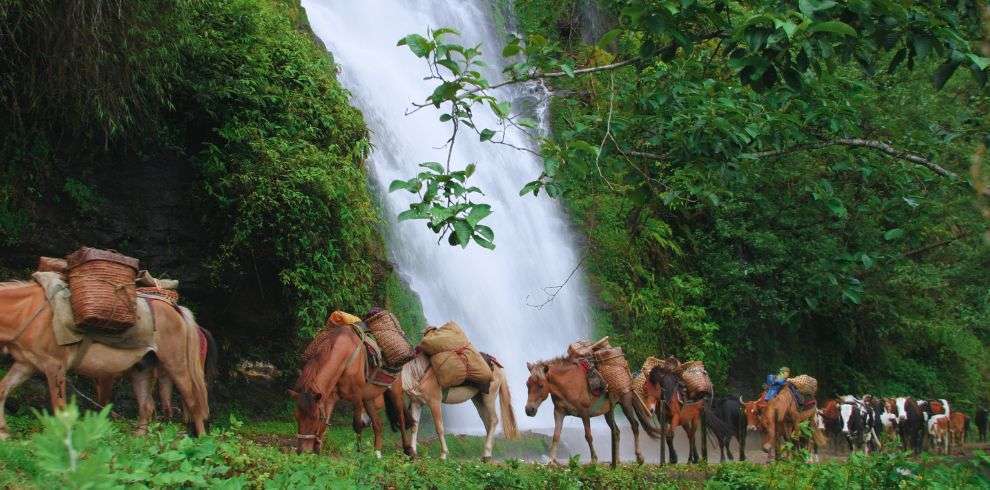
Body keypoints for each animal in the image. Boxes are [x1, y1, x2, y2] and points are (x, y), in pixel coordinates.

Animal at [0, 282, 207, 438]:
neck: (27, 313)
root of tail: (176, 309)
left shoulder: (55, 367)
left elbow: (60, 409)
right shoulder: (26, 365)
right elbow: (3, 390)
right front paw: (4, 432)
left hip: (176, 365)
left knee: (193, 401)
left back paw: (202, 441)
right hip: (141, 368)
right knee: (147, 406)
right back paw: (139, 439)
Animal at [288, 322, 408, 456]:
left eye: (315, 417)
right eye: (296, 416)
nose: (302, 451)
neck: (345, 358)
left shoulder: (357, 398)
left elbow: (357, 425)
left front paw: (359, 452)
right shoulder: (330, 397)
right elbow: (325, 423)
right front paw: (318, 451)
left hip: (395, 392)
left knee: (401, 421)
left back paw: (409, 451)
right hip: (369, 398)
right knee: (378, 424)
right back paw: (377, 453)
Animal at [524, 356, 664, 468]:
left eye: (541, 385)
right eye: (527, 384)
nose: (529, 410)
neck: (568, 384)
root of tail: (629, 378)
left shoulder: (584, 413)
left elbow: (588, 436)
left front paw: (594, 460)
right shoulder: (559, 412)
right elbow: (556, 436)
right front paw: (551, 461)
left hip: (626, 404)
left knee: (634, 425)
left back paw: (639, 457)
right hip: (608, 412)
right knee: (616, 431)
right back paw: (617, 461)